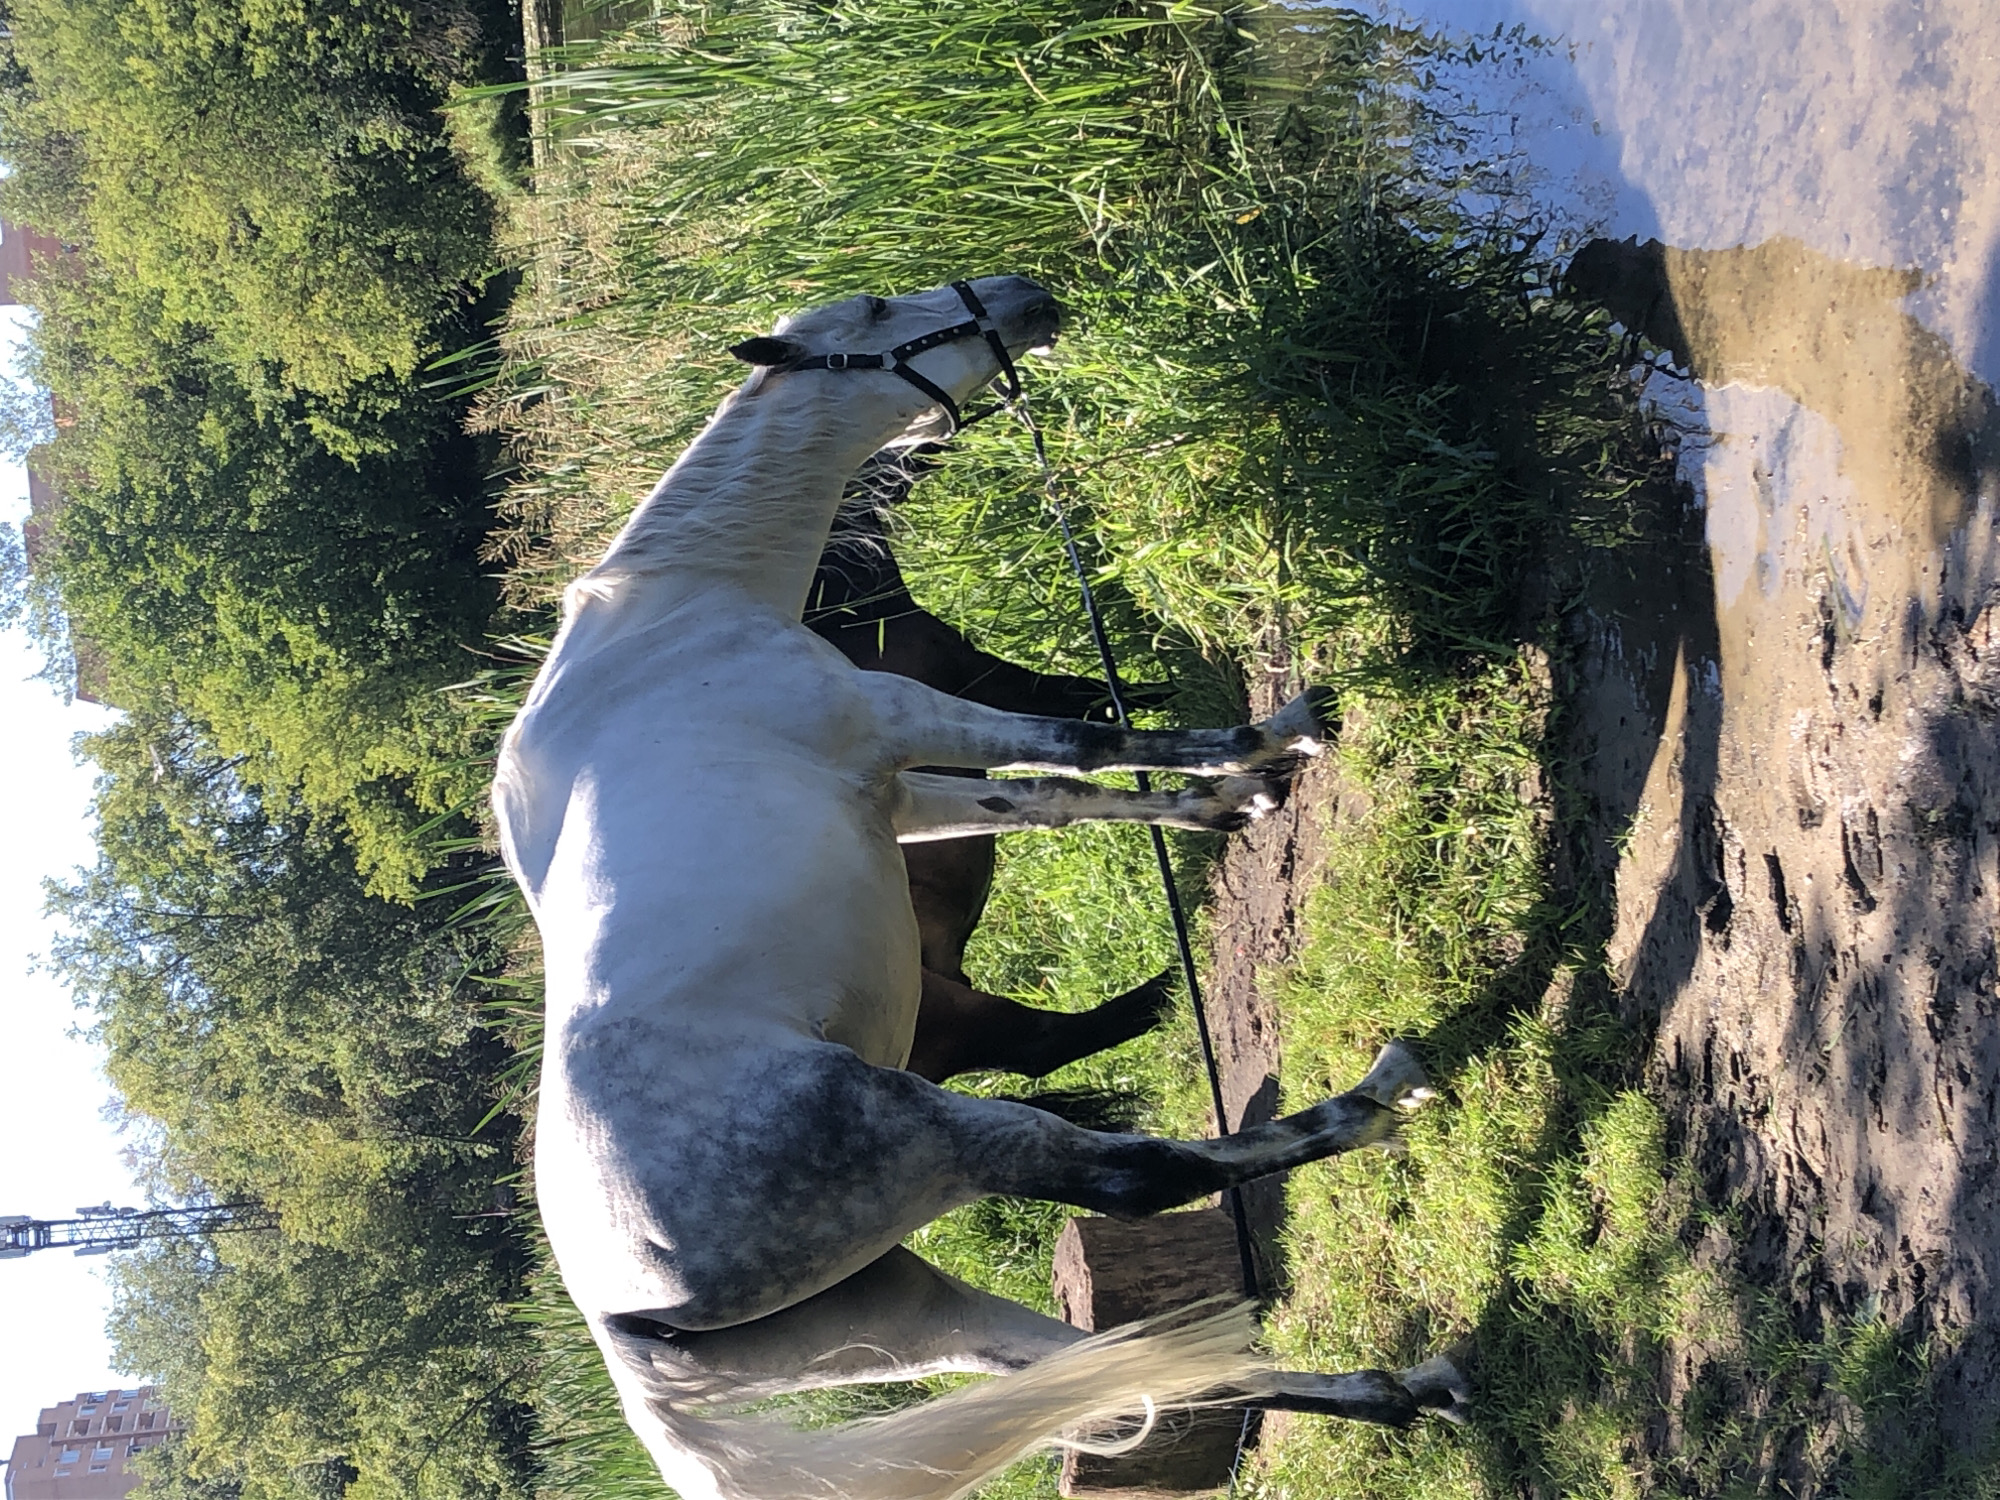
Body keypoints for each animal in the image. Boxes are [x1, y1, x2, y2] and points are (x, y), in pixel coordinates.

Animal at [494, 276, 1468, 1500]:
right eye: (875, 308)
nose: (1027, 296)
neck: (676, 614)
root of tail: (620, 1325)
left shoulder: (904, 790)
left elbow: (1048, 794)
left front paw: (1230, 799)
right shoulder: (903, 718)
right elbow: (1081, 741)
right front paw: (1276, 738)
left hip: (904, 1311)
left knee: (1137, 1372)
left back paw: (1403, 1389)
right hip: (933, 1134)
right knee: (1136, 1176)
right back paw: (1376, 1099)